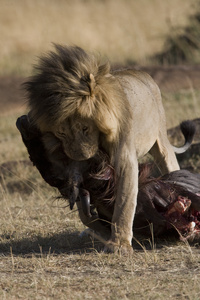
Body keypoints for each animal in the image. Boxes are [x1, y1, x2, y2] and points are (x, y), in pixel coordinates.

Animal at [23, 44, 194, 253]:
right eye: (61, 133)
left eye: (84, 128)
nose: (81, 156)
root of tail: (143, 73)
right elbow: (82, 204)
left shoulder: (125, 159)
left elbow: (124, 202)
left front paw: (119, 244)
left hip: (160, 137)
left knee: (169, 163)